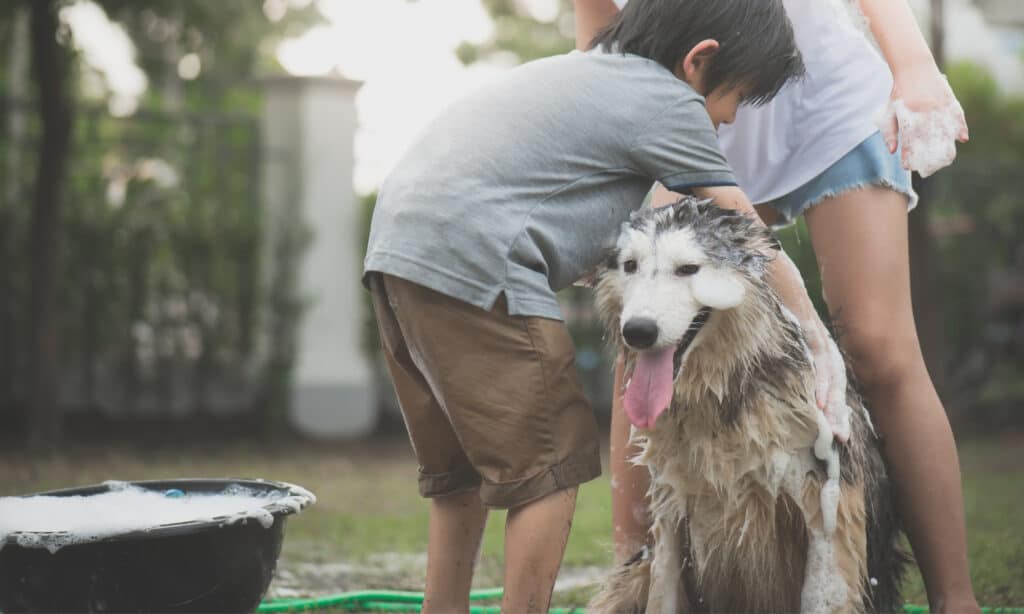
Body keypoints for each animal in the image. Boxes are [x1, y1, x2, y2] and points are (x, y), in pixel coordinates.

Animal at [585, 199, 905, 609]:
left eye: (688, 269)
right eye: (630, 266)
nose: (638, 331)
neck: (722, 401)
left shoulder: (827, 512)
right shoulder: (671, 514)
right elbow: (663, 597)